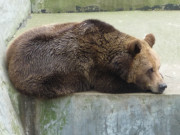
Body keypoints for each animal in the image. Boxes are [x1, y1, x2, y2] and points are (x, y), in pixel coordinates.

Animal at [6, 19, 167, 98]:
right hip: (41, 77)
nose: (162, 86)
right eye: (149, 69)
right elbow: (112, 84)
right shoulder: (94, 67)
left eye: (158, 67)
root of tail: (9, 55)